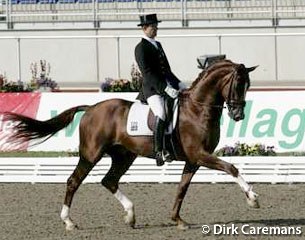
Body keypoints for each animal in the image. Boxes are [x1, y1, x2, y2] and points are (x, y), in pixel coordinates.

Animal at [3, 59, 258, 231]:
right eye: (237, 84)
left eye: (248, 85)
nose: (238, 115)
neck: (198, 108)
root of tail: (91, 108)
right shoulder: (200, 154)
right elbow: (231, 168)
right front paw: (252, 198)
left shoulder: (193, 160)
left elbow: (182, 189)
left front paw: (177, 220)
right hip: (91, 154)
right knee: (74, 181)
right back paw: (69, 222)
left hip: (124, 155)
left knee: (109, 180)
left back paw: (130, 216)